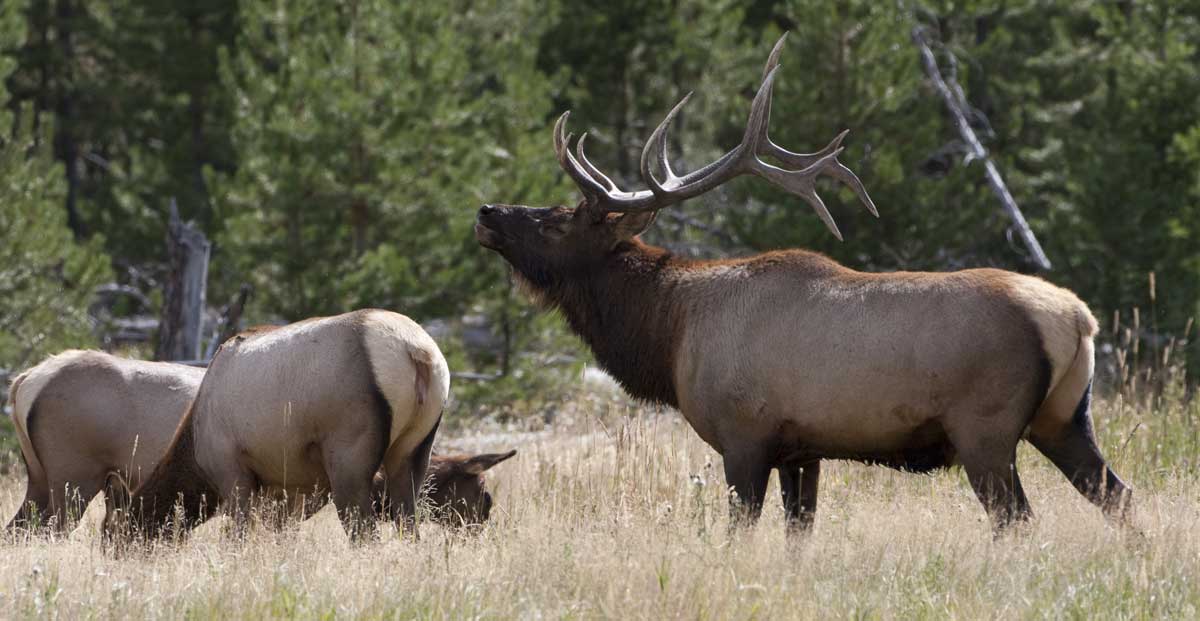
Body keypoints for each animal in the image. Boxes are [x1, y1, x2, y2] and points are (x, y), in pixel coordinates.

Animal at [472, 32, 1128, 534]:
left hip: (985, 429)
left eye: (558, 220)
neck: (669, 331)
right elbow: (799, 531)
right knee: (1118, 496)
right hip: (1064, 419)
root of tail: (1077, 319)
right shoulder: (802, 449)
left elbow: (740, 530)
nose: (486, 212)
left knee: (1018, 518)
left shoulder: (744, 437)